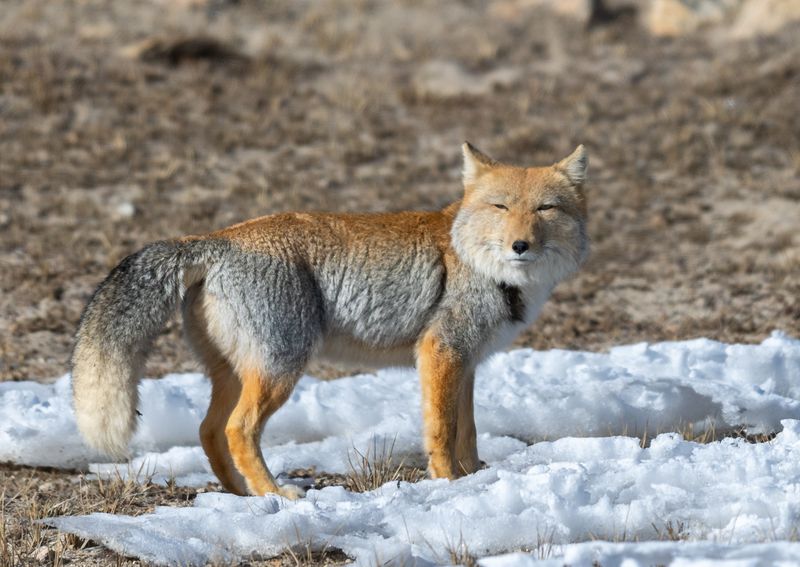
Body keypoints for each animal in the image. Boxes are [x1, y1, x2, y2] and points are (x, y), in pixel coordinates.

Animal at [71, 143, 589, 498]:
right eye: (500, 206)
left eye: (545, 208)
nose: (520, 245)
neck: (480, 265)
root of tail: (217, 238)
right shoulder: (441, 353)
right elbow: (442, 432)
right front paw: (447, 483)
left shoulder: (466, 363)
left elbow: (469, 431)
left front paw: (473, 477)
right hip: (281, 370)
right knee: (239, 430)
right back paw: (275, 493)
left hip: (236, 374)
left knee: (209, 430)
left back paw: (242, 495)